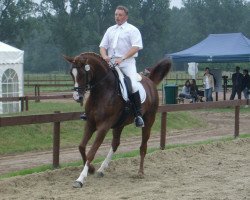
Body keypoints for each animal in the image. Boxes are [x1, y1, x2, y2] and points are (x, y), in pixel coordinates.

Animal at [63, 52, 171, 188]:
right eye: (72, 73)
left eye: (82, 73)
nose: (77, 97)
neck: (102, 91)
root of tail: (150, 81)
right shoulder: (90, 123)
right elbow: (81, 147)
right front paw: (91, 169)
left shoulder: (103, 127)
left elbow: (92, 152)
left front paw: (80, 179)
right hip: (120, 124)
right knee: (115, 144)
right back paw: (101, 169)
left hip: (148, 122)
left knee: (143, 146)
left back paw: (140, 172)